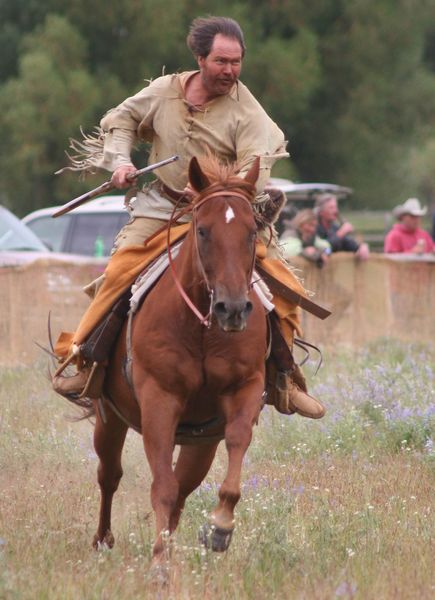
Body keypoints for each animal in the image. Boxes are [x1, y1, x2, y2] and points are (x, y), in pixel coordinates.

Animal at [93, 156, 268, 568]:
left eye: (252, 231)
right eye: (202, 231)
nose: (232, 308)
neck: (201, 327)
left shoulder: (245, 388)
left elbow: (237, 442)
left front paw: (220, 527)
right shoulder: (159, 399)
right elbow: (162, 487)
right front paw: (159, 564)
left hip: (199, 441)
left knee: (184, 486)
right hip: (109, 417)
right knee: (109, 474)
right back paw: (104, 541)